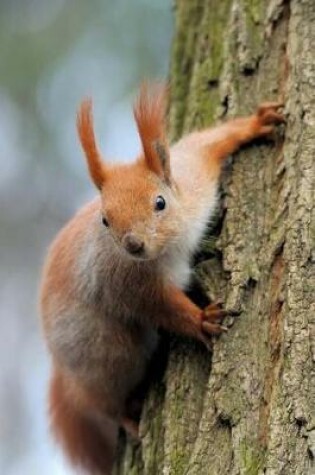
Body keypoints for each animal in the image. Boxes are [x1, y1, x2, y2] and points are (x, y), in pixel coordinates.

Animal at [39, 83, 284, 474]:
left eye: (160, 202)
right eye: (105, 220)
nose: (133, 244)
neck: (171, 245)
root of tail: (62, 367)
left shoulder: (194, 176)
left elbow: (207, 142)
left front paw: (255, 123)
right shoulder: (125, 282)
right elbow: (163, 309)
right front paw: (201, 320)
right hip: (105, 351)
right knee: (100, 397)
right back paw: (126, 417)